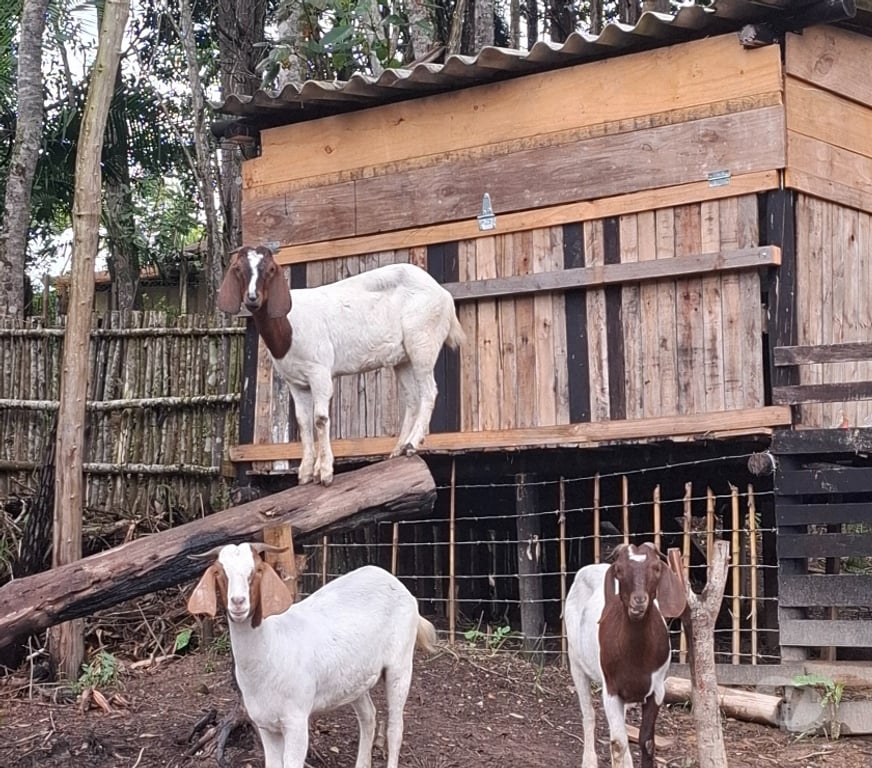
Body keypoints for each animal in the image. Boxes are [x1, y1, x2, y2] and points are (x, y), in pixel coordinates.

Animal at [187, 543, 438, 768]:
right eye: (220, 572)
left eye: (256, 570)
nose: (238, 602)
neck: (271, 648)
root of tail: (395, 582)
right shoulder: (264, 724)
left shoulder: (296, 720)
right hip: (355, 678)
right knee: (368, 716)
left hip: (400, 662)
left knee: (395, 727)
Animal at [218, 246, 465, 486]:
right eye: (238, 269)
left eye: (270, 269)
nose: (252, 298)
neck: (289, 326)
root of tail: (444, 294)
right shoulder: (294, 382)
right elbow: (304, 422)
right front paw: (306, 473)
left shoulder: (319, 371)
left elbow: (320, 419)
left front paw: (325, 472)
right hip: (402, 358)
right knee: (413, 397)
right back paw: (398, 450)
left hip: (423, 340)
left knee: (429, 391)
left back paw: (412, 444)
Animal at [564, 542, 686, 768]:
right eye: (619, 570)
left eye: (656, 567)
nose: (638, 601)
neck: (637, 656)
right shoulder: (611, 689)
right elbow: (618, 743)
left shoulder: (657, 690)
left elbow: (646, 742)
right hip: (575, 659)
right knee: (589, 714)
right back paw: (589, 761)